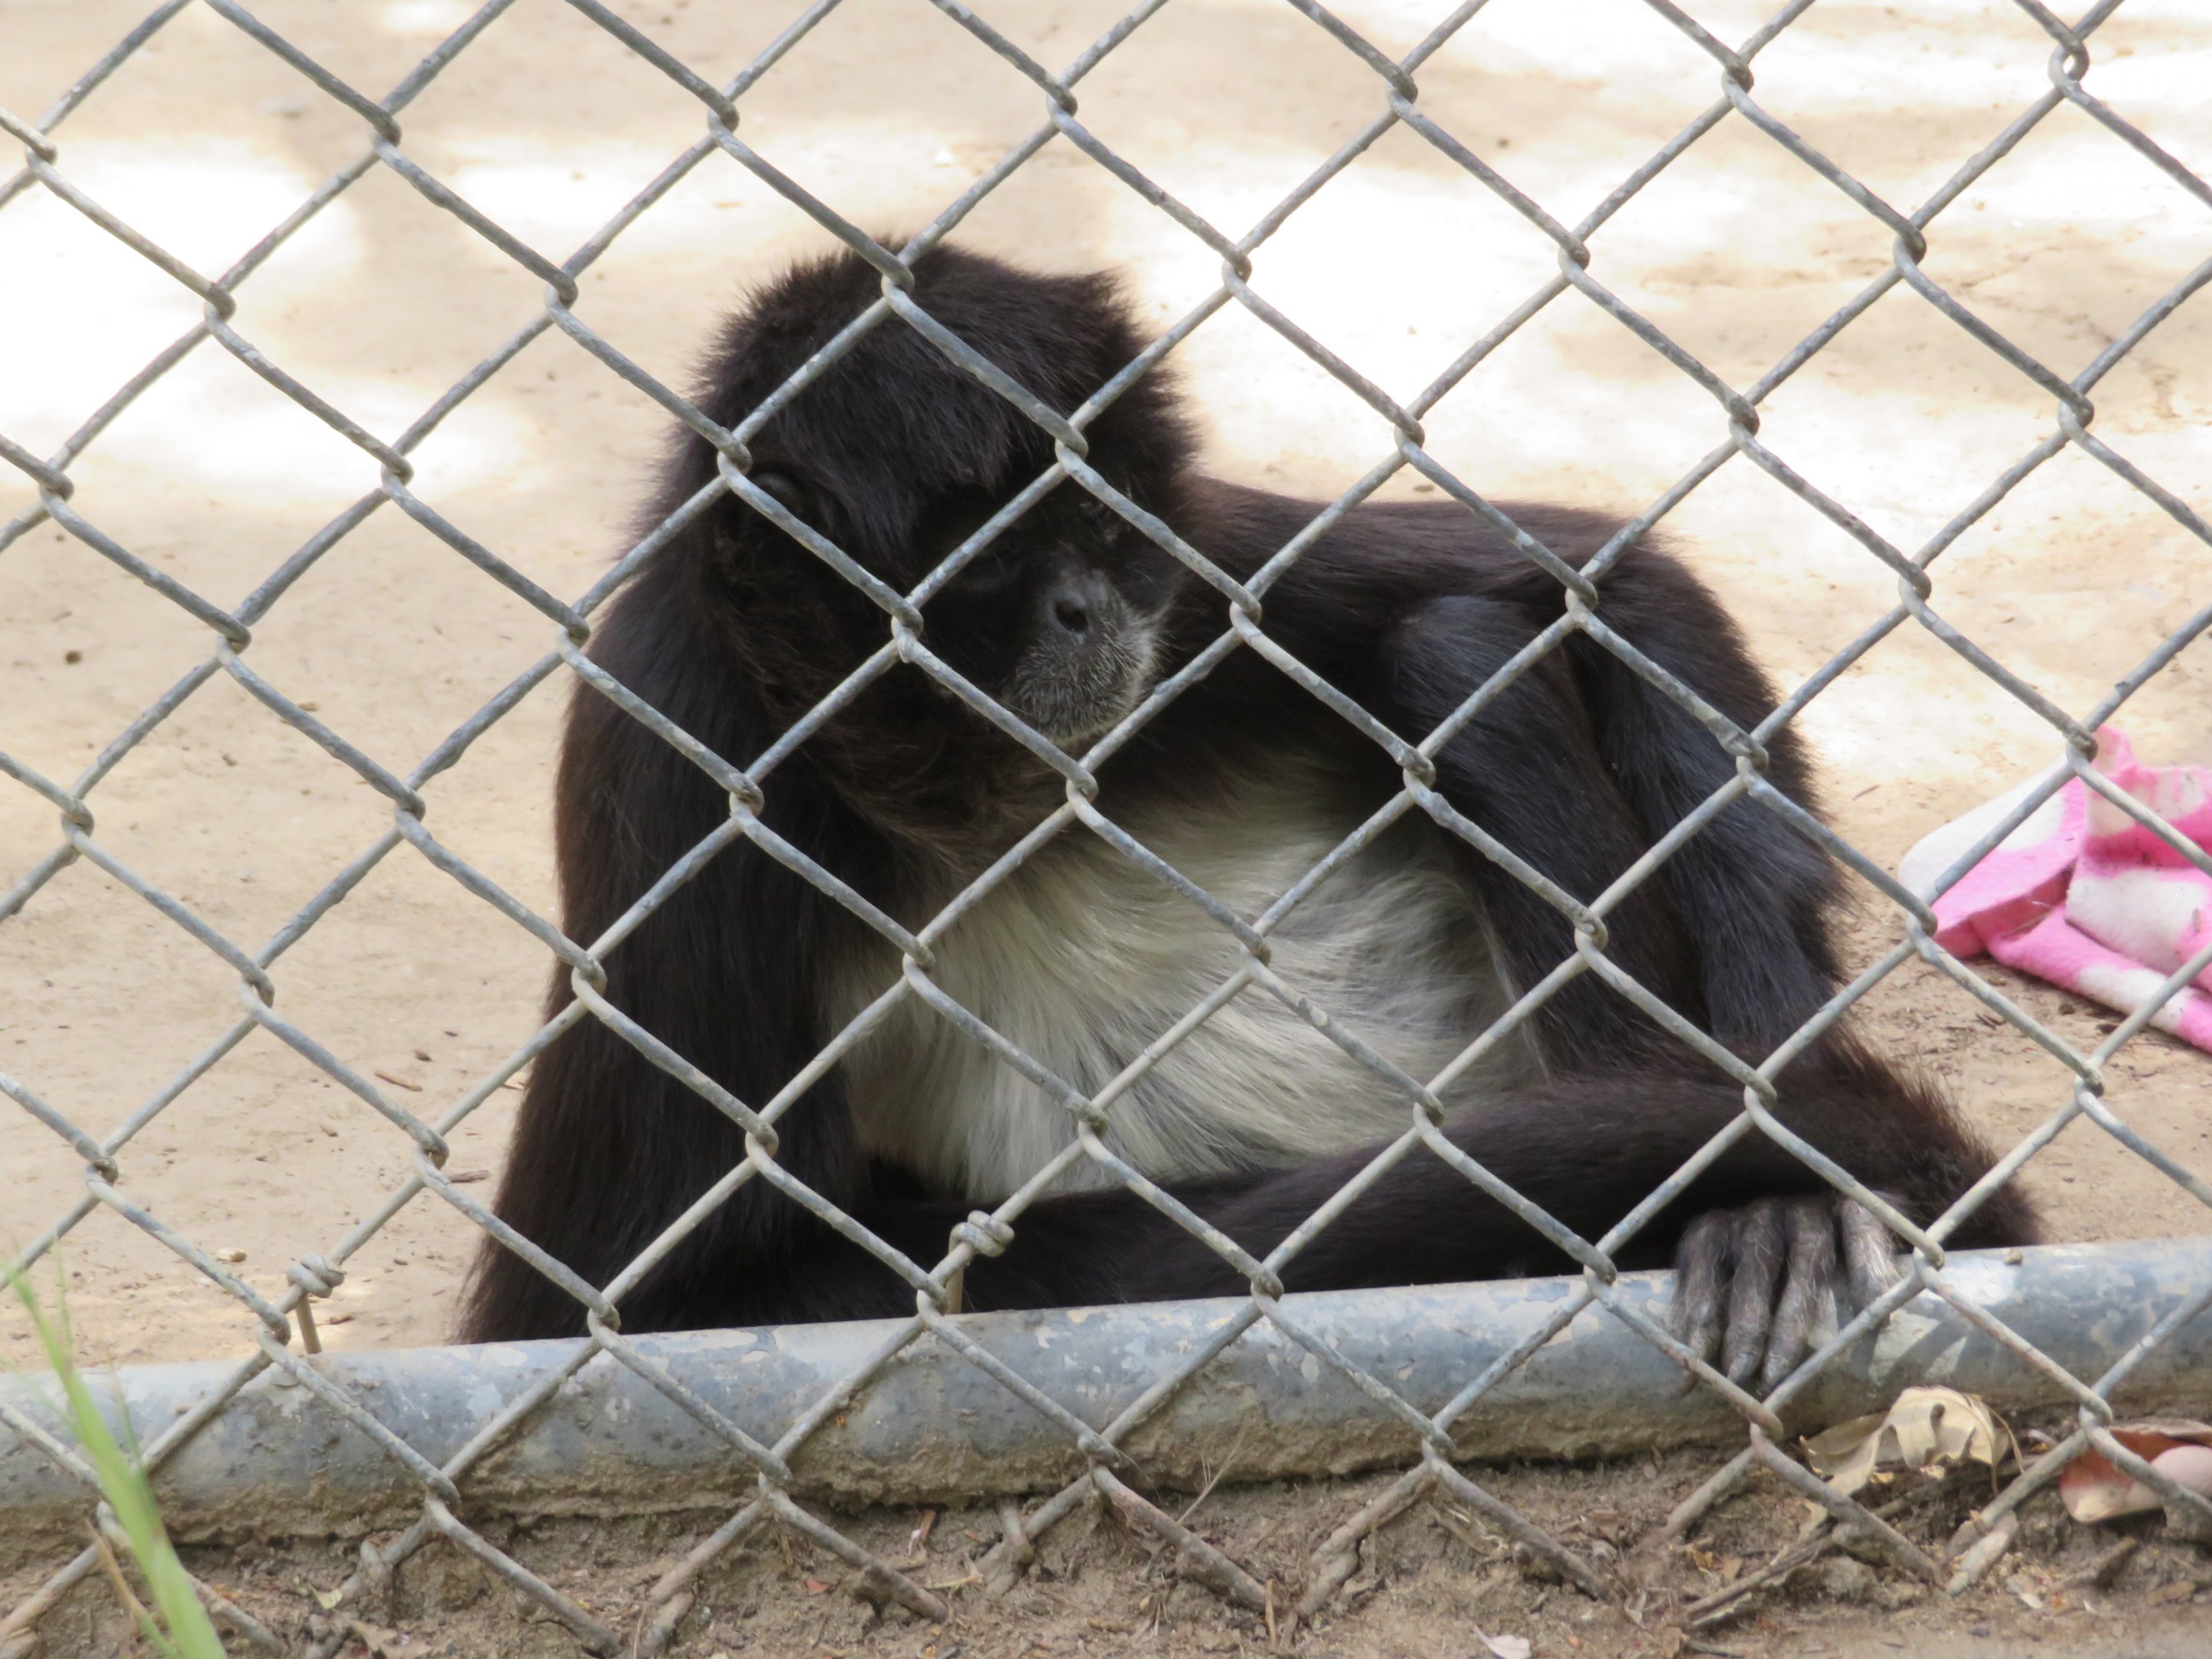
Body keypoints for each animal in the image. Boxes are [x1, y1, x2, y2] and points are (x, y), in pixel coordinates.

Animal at [460, 243, 2037, 1392]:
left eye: (1094, 523)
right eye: (1000, 556)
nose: (1088, 606)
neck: (975, 787)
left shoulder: (1189, 586)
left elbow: (1596, 576)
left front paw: (1787, 1178)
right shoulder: (681, 740)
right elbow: (630, 1306)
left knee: (1460, 640)